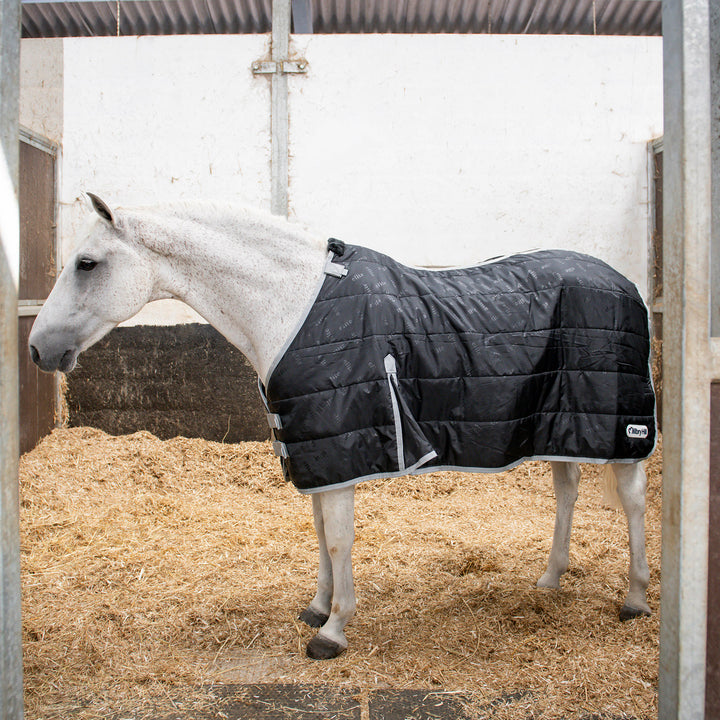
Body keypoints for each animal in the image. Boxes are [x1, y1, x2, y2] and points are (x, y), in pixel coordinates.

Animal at [29, 194, 655, 660]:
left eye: (86, 263)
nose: (38, 349)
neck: (295, 306)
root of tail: (624, 283)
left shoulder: (344, 450)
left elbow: (337, 537)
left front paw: (332, 632)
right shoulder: (315, 452)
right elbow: (319, 536)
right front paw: (318, 607)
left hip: (622, 432)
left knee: (631, 502)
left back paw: (635, 600)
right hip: (565, 422)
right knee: (567, 490)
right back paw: (549, 582)